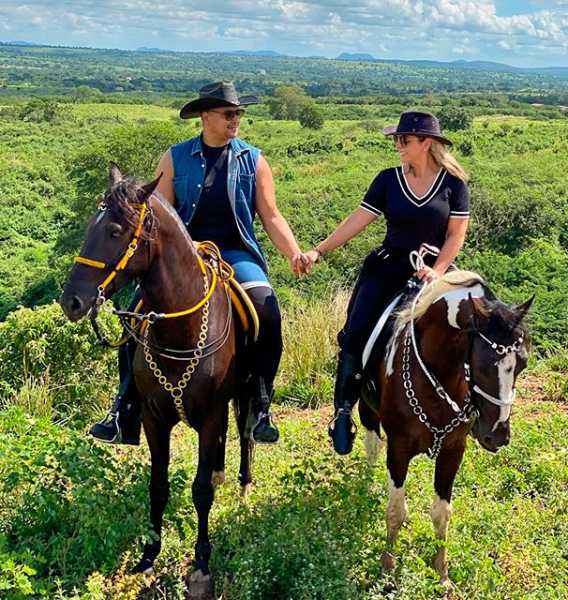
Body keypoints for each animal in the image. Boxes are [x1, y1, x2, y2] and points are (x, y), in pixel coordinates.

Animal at [60, 163, 253, 596]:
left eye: (115, 232)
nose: (71, 301)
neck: (181, 329)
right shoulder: (154, 417)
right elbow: (158, 485)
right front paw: (148, 556)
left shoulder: (212, 414)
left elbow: (201, 491)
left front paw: (201, 562)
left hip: (244, 400)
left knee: (247, 431)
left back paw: (244, 481)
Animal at [360, 274, 532, 592]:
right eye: (483, 365)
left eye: (523, 364)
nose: (497, 435)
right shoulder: (398, 449)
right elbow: (395, 511)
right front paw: (388, 570)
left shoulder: (453, 450)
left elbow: (442, 513)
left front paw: (442, 573)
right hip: (366, 408)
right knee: (371, 443)